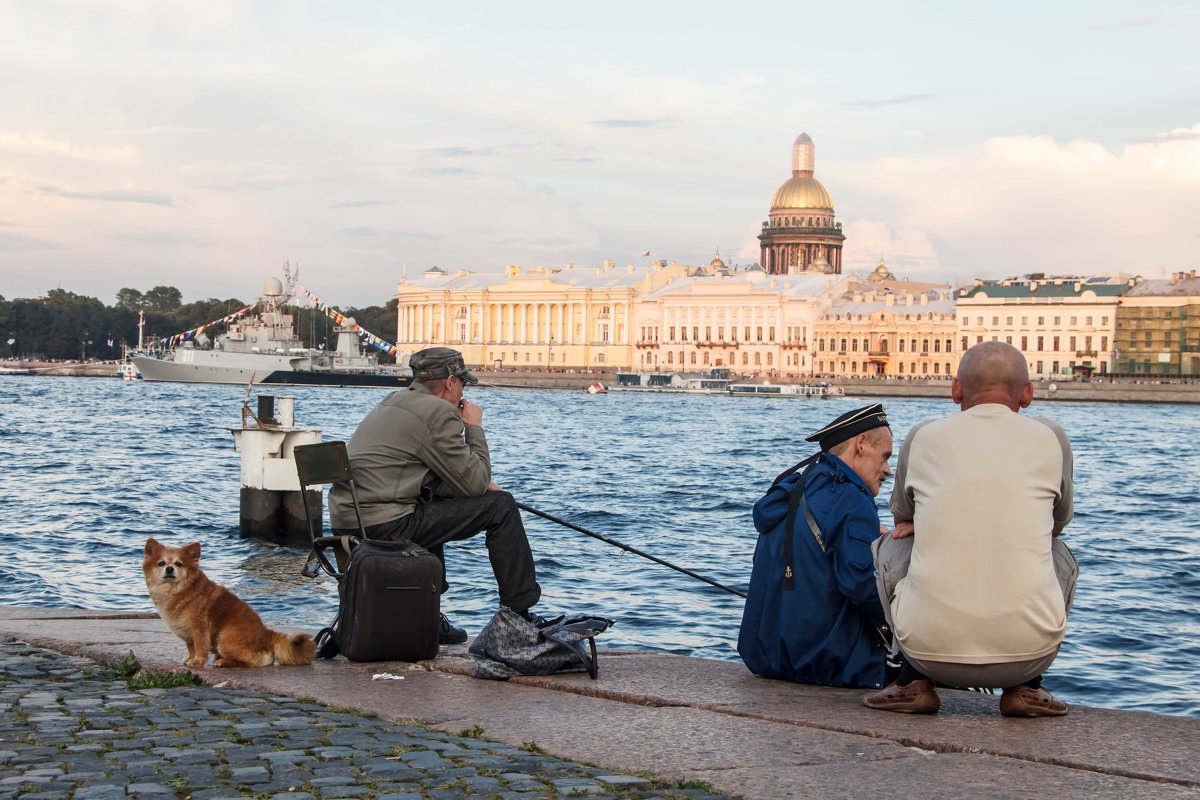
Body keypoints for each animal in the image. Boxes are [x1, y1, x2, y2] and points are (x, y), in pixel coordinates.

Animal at [141, 537, 316, 671]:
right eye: (161, 563)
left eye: (178, 564)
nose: (169, 569)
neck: (179, 590)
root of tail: (268, 634)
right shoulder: (188, 635)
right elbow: (191, 648)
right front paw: (190, 659)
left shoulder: (199, 630)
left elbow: (200, 648)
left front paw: (197, 662)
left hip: (224, 640)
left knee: (249, 662)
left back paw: (222, 662)